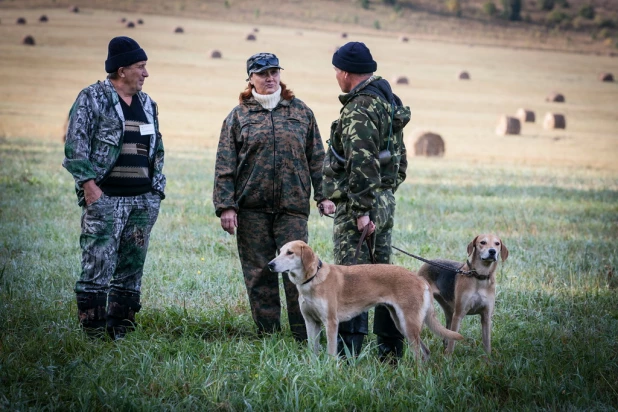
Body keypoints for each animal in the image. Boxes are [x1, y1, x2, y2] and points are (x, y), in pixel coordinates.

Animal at [268, 240, 460, 358]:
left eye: (290, 253)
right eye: (280, 252)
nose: (270, 265)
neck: (312, 279)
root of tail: (420, 279)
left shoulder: (331, 323)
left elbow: (331, 352)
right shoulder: (311, 322)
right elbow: (312, 351)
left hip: (409, 324)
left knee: (419, 354)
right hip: (401, 323)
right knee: (425, 353)